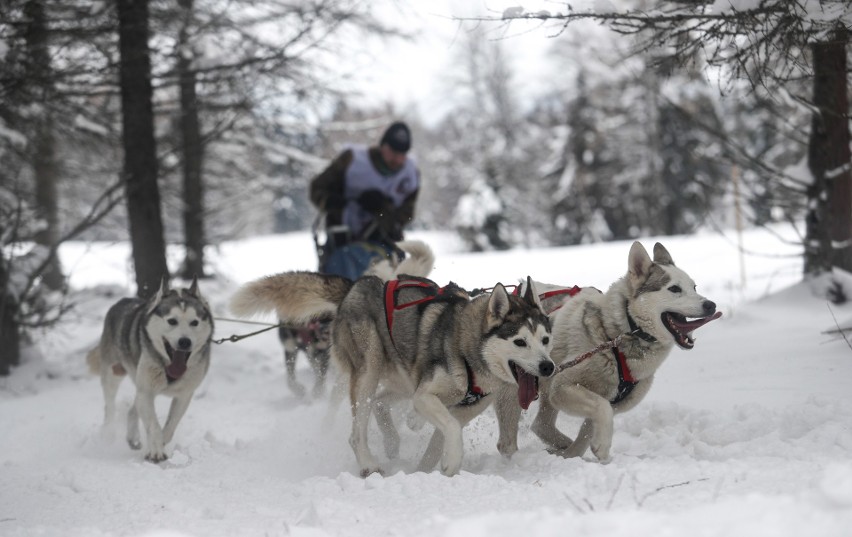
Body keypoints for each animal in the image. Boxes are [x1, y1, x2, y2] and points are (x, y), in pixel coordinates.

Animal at [85, 276, 213, 460]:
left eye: (194, 322)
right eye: (172, 321)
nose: (184, 342)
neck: (168, 368)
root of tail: (122, 301)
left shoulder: (184, 394)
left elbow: (170, 426)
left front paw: (160, 443)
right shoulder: (146, 391)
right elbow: (153, 425)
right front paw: (156, 451)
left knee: (133, 410)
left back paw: (133, 438)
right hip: (114, 372)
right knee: (110, 406)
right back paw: (108, 433)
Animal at [230, 270, 556, 476]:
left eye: (545, 339)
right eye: (520, 342)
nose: (548, 366)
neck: (467, 349)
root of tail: (356, 286)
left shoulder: (464, 407)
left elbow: (442, 435)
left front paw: (429, 469)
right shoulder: (426, 396)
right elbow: (449, 428)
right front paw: (450, 462)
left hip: (400, 378)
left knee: (379, 402)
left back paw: (391, 441)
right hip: (369, 369)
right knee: (357, 430)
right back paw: (368, 464)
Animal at [276, 241, 432, 400]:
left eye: (328, 315)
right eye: (318, 315)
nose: (326, 331)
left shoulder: (321, 353)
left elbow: (319, 377)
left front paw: (316, 392)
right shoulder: (291, 349)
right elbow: (291, 379)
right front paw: (302, 390)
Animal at [496, 242, 724, 460]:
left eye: (694, 287)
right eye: (674, 289)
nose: (711, 305)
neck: (618, 336)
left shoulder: (613, 402)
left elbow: (588, 430)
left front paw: (575, 455)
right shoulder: (563, 387)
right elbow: (601, 409)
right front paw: (601, 447)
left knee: (541, 425)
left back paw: (560, 447)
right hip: (519, 389)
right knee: (515, 436)